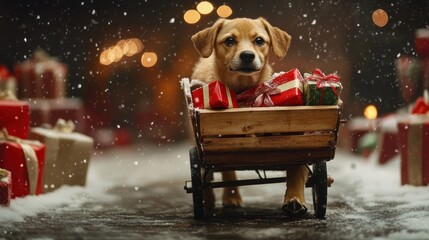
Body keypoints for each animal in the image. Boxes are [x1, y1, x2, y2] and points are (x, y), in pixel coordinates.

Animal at [191, 16, 308, 216]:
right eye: (230, 40)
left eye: (259, 40)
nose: (247, 55)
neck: (244, 90)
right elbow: (217, 170)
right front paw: (209, 199)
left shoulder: (293, 140)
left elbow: (297, 167)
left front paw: (295, 198)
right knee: (212, 170)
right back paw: (222, 198)